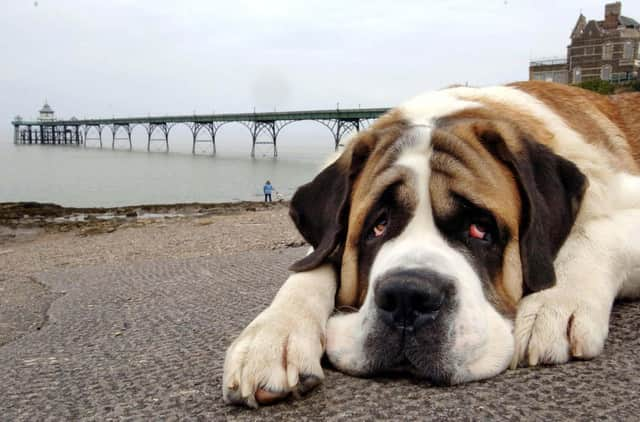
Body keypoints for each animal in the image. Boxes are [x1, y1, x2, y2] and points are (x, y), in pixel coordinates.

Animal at [222, 81, 640, 408]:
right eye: (377, 226)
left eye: (480, 229)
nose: (408, 298)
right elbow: (310, 268)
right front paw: (272, 337)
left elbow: (597, 230)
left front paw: (554, 305)